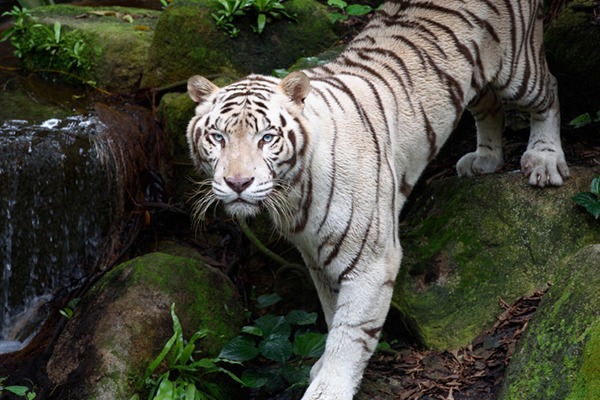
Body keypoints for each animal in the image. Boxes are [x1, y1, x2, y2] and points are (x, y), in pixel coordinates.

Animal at [185, 0, 568, 396]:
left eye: (267, 138)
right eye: (217, 137)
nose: (238, 182)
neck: (293, 193)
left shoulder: (371, 259)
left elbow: (350, 332)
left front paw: (328, 388)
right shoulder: (316, 258)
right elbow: (332, 313)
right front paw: (322, 365)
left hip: (517, 68)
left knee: (548, 90)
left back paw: (544, 159)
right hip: (472, 80)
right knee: (489, 103)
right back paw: (485, 159)